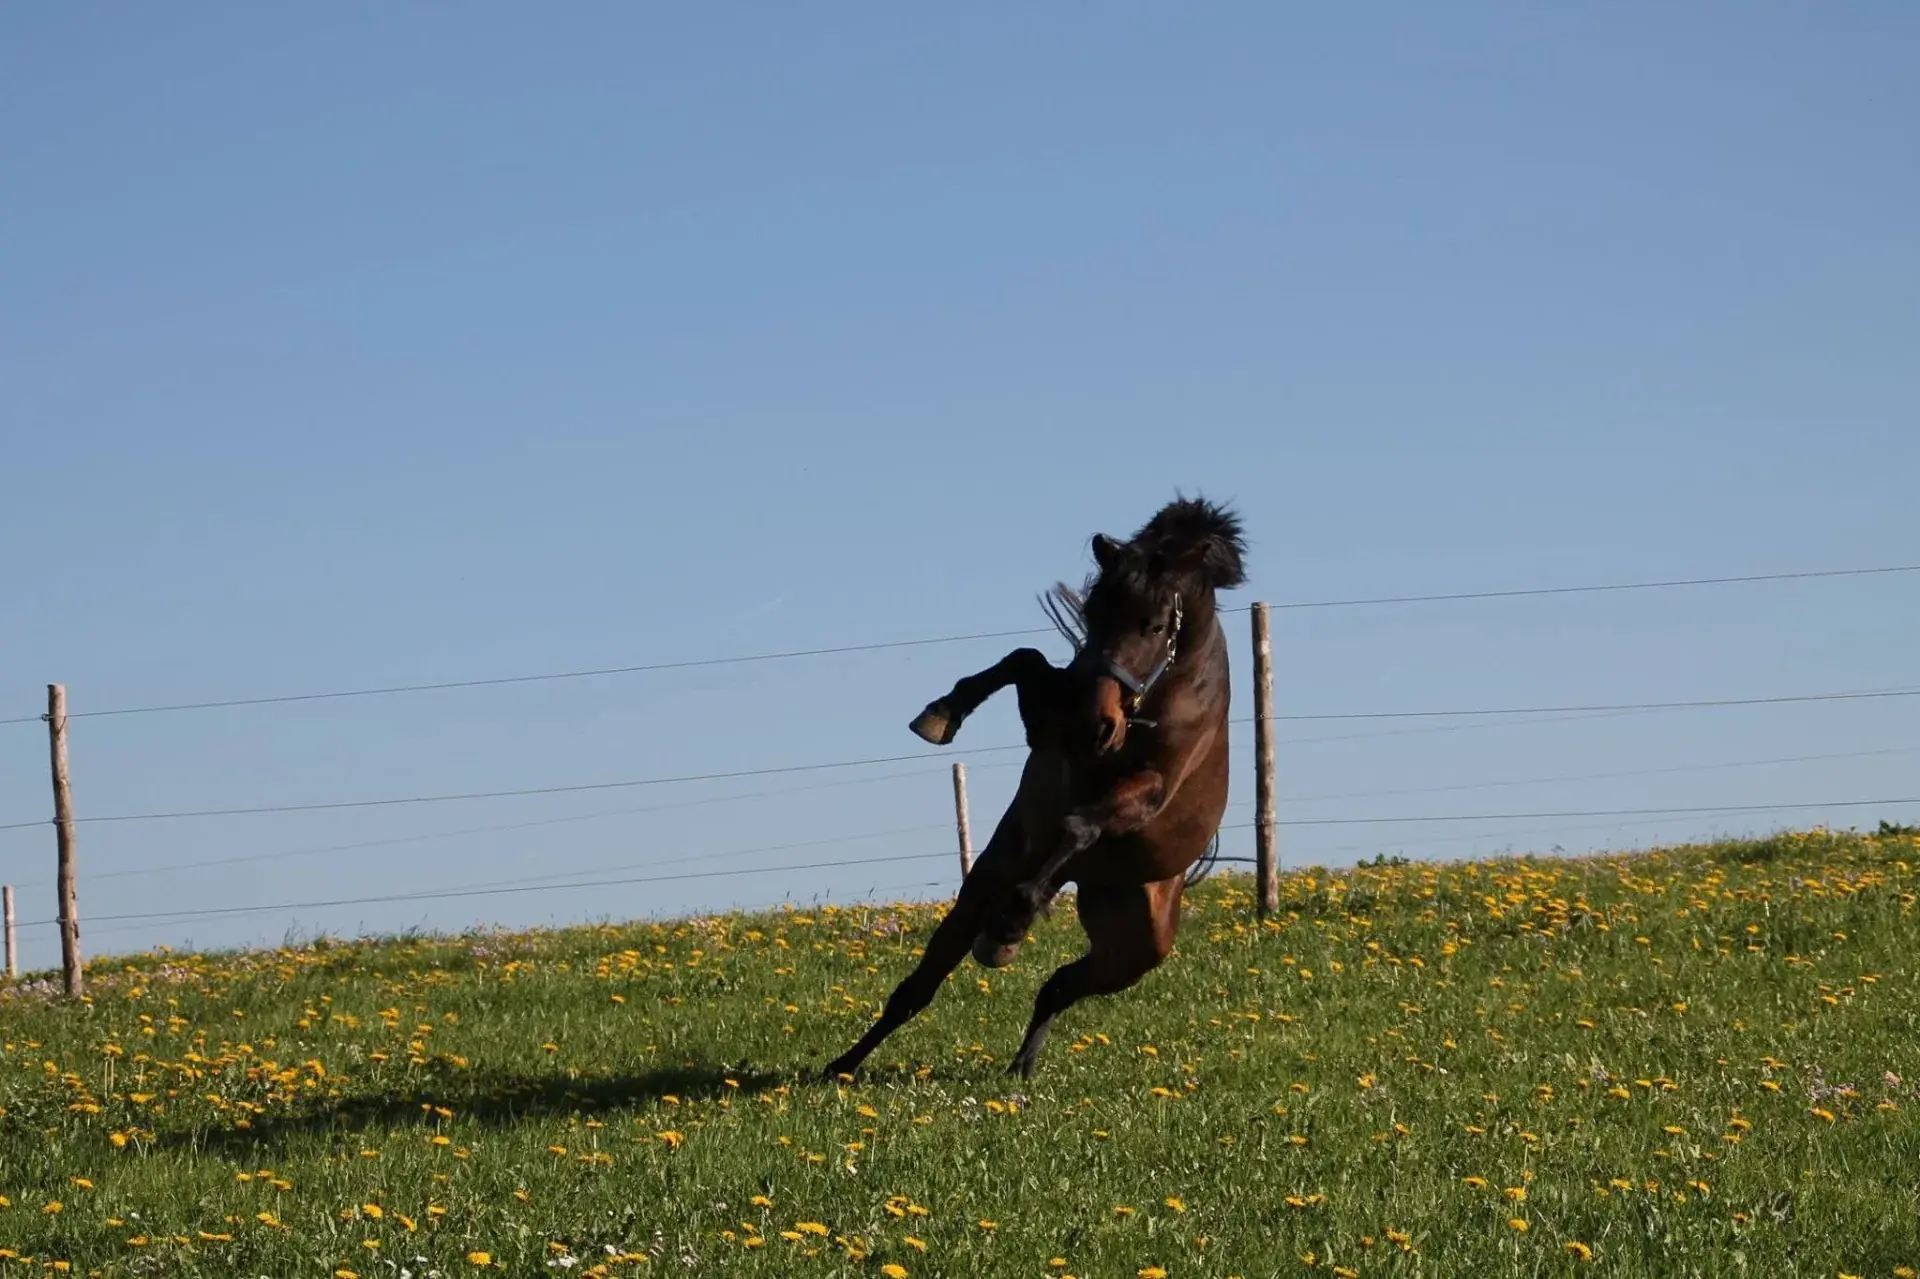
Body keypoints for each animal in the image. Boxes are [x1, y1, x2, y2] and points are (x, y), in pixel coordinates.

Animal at [822, 495, 1247, 1080]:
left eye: (1157, 624)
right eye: (1093, 612)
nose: (1095, 725)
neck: (1159, 697)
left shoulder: (1150, 791)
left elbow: (1080, 824)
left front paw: (1016, 917)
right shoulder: (1051, 730)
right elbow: (1024, 660)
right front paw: (942, 713)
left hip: (1136, 950)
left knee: (1060, 984)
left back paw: (1016, 1018)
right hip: (990, 878)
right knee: (921, 988)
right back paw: (847, 1064)